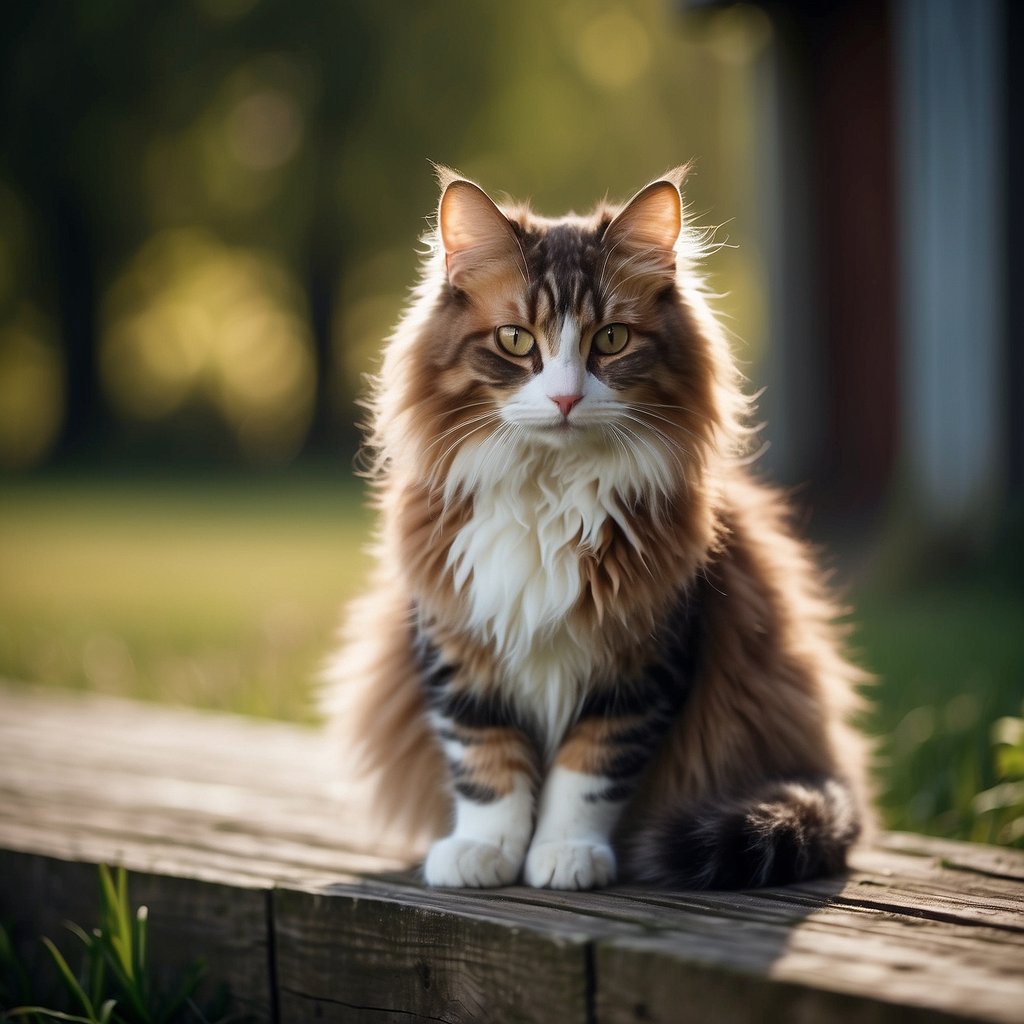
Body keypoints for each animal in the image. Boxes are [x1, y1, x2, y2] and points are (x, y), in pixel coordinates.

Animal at [321, 165, 872, 888]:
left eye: (610, 339)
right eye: (515, 340)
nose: (564, 397)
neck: (548, 495)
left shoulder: (642, 659)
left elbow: (587, 773)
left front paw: (564, 854)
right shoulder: (456, 640)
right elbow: (485, 761)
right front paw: (485, 851)